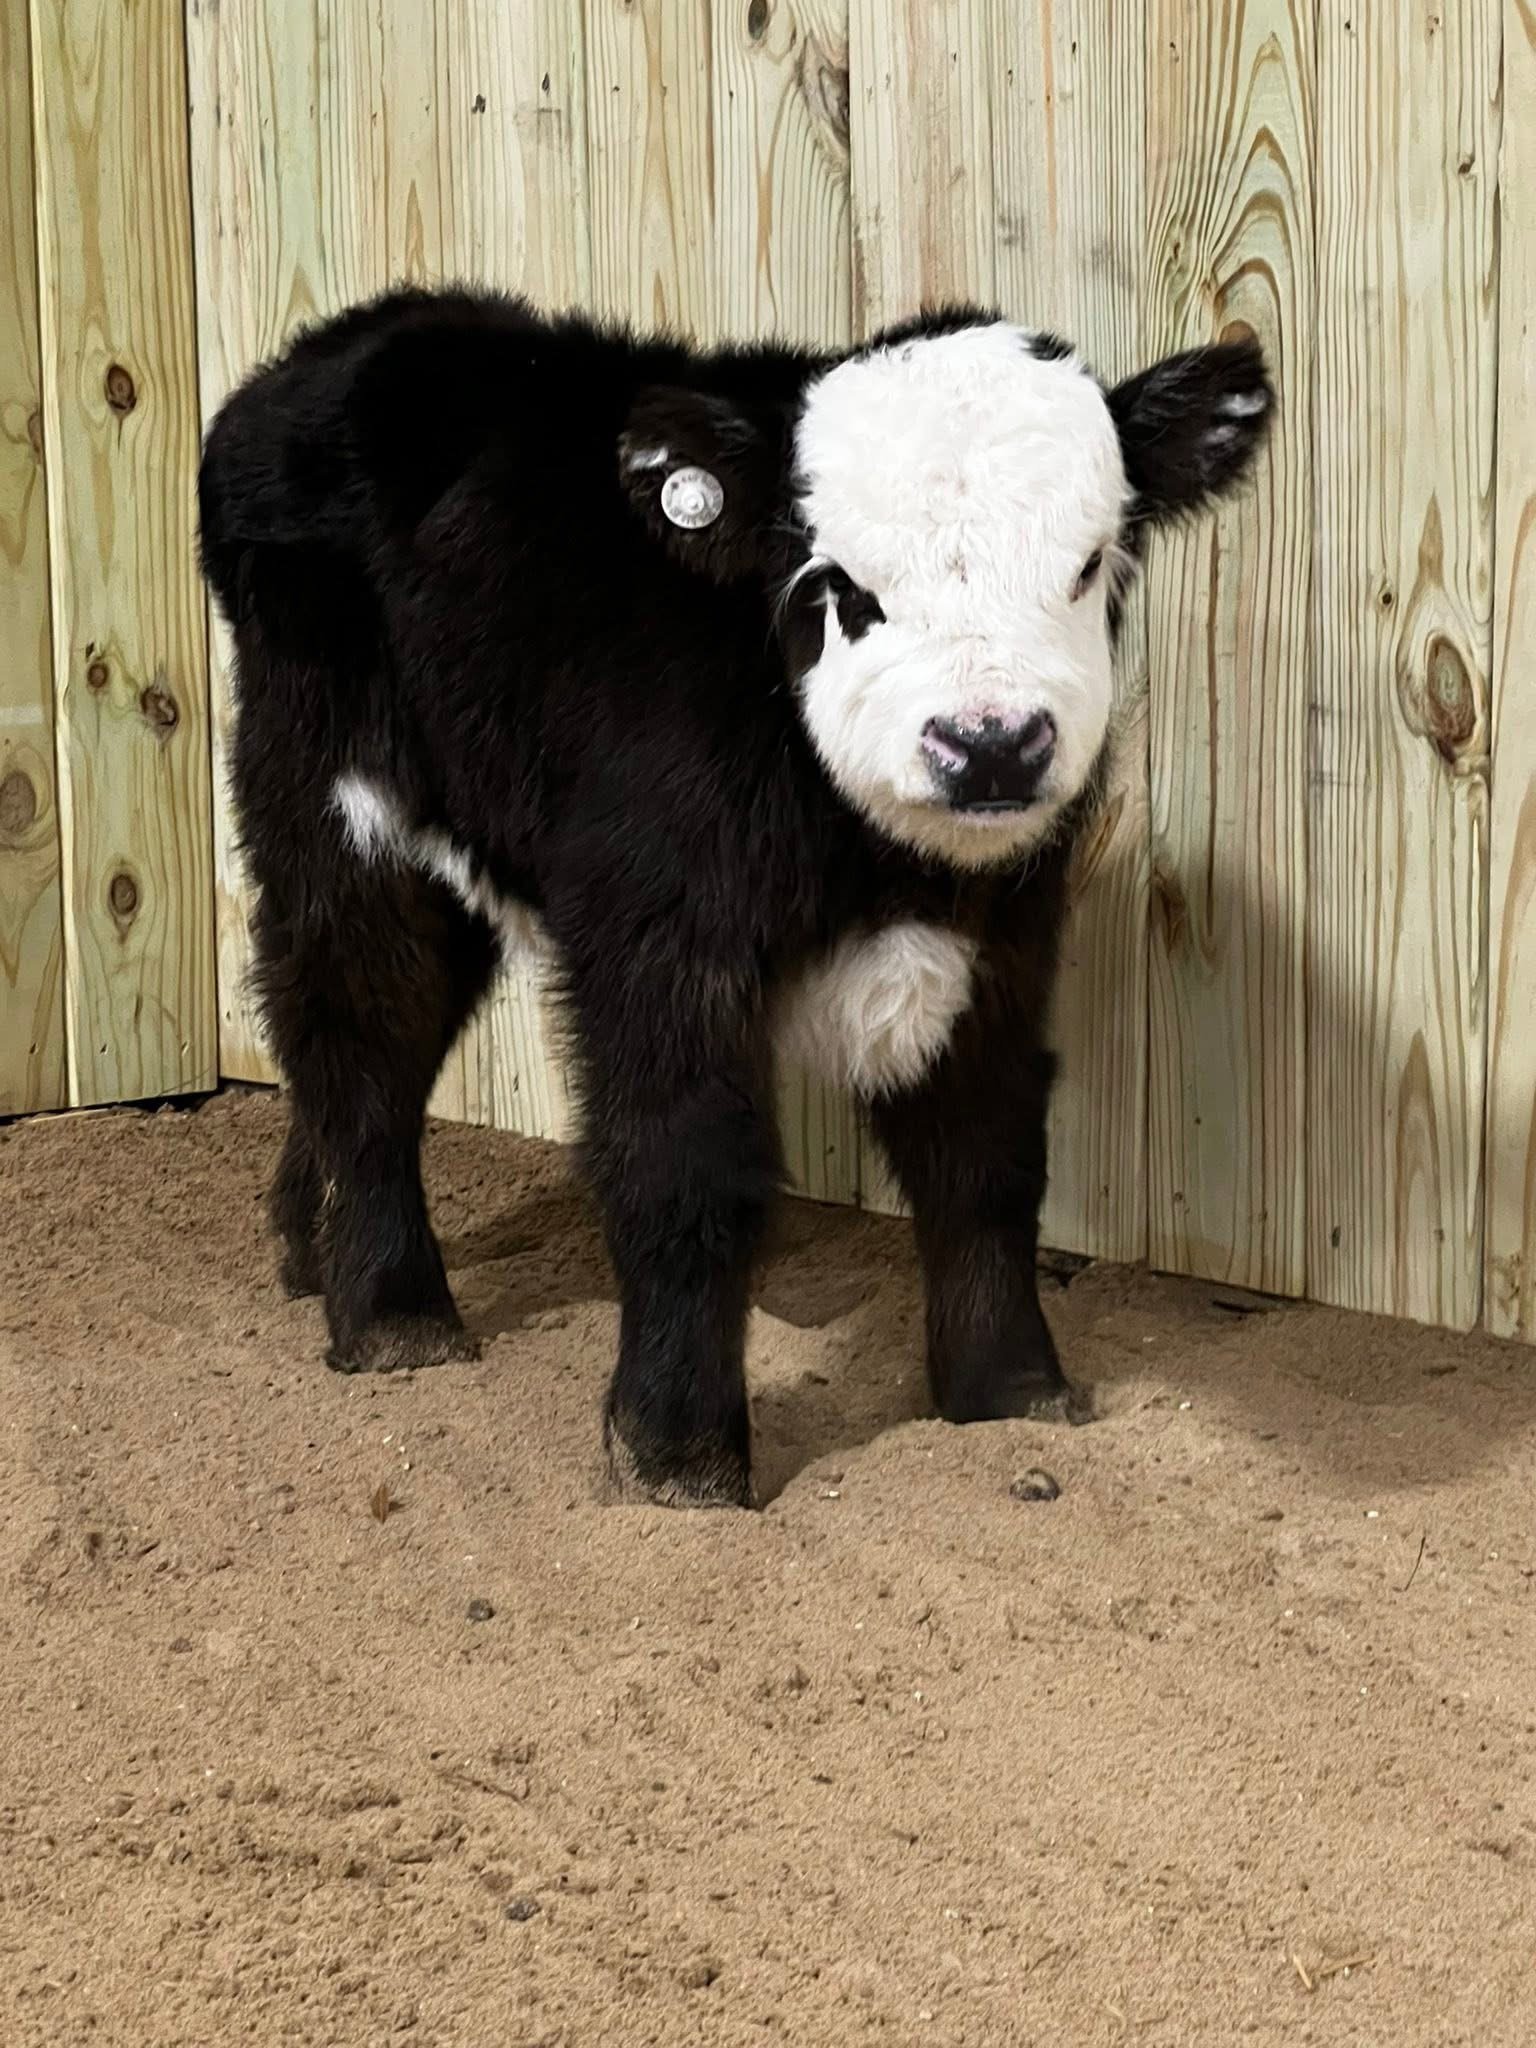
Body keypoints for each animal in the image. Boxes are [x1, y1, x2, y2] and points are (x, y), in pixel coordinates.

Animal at [198, 287, 1271, 1508]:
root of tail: (350, 343)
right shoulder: (657, 932)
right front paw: (679, 1450)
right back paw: (391, 1313)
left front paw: (1008, 1392)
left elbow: (985, 1152)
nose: (990, 743)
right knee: (359, 1023)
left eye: (1092, 564)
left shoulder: (1001, 939)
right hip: (337, 802)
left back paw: (306, 1245)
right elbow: (686, 1164)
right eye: (842, 587)